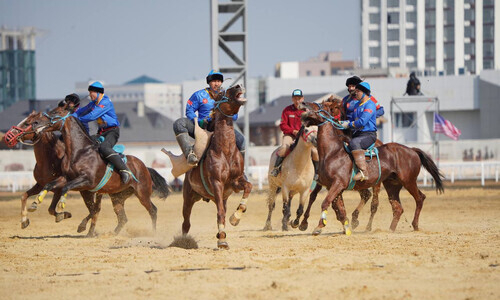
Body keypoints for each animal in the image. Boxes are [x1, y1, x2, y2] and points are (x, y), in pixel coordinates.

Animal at [21, 105, 172, 237]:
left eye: (54, 112)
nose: (35, 123)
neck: (79, 152)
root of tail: (144, 167)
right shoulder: (66, 178)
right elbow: (50, 185)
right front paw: (36, 202)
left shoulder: (87, 181)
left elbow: (65, 189)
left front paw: (61, 205)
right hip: (117, 197)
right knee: (122, 217)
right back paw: (110, 234)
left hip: (142, 194)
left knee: (153, 210)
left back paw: (153, 233)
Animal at [178, 84, 252, 248]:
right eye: (223, 92)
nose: (239, 85)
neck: (225, 151)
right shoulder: (217, 182)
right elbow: (220, 212)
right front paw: (222, 240)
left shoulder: (235, 181)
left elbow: (248, 187)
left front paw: (235, 217)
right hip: (188, 197)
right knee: (186, 222)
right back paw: (184, 241)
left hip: (222, 197)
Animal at [298, 99, 444, 236]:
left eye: (320, 105)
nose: (302, 103)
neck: (333, 152)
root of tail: (412, 150)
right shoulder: (332, 186)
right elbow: (338, 208)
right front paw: (346, 227)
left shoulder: (338, 184)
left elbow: (326, 202)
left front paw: (319, 227)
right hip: (391, 185)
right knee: (397, 208)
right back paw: (390, 230)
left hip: (408, 181)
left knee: (419, 198)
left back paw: (415, 225)